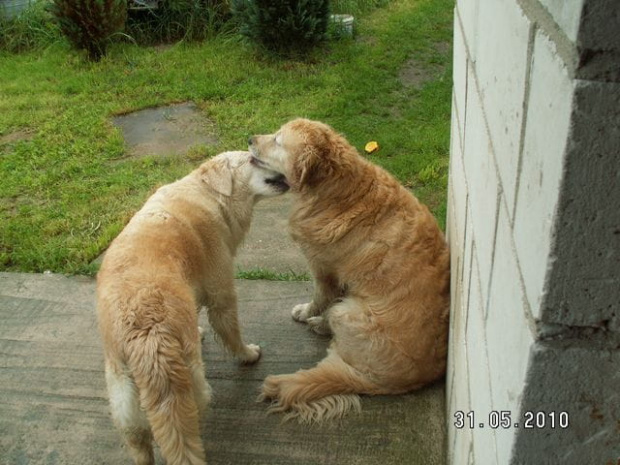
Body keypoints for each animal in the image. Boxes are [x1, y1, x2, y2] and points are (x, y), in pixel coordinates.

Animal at [97, 150, 290, 462]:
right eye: (252, 159)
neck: (211, 193)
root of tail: (147, 335)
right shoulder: (221, 292)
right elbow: (232, 332)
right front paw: (248, 354)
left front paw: (199, 331)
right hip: (191, 387)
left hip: (123, 401)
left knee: (140, 445)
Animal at [248, 119, 450, 424]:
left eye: (278, 140)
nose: (250, 139)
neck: (339, 190)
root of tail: (381, 383)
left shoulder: (323, 268)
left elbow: (320, 298)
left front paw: (305, 312)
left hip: (346, 312)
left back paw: (320, 325)